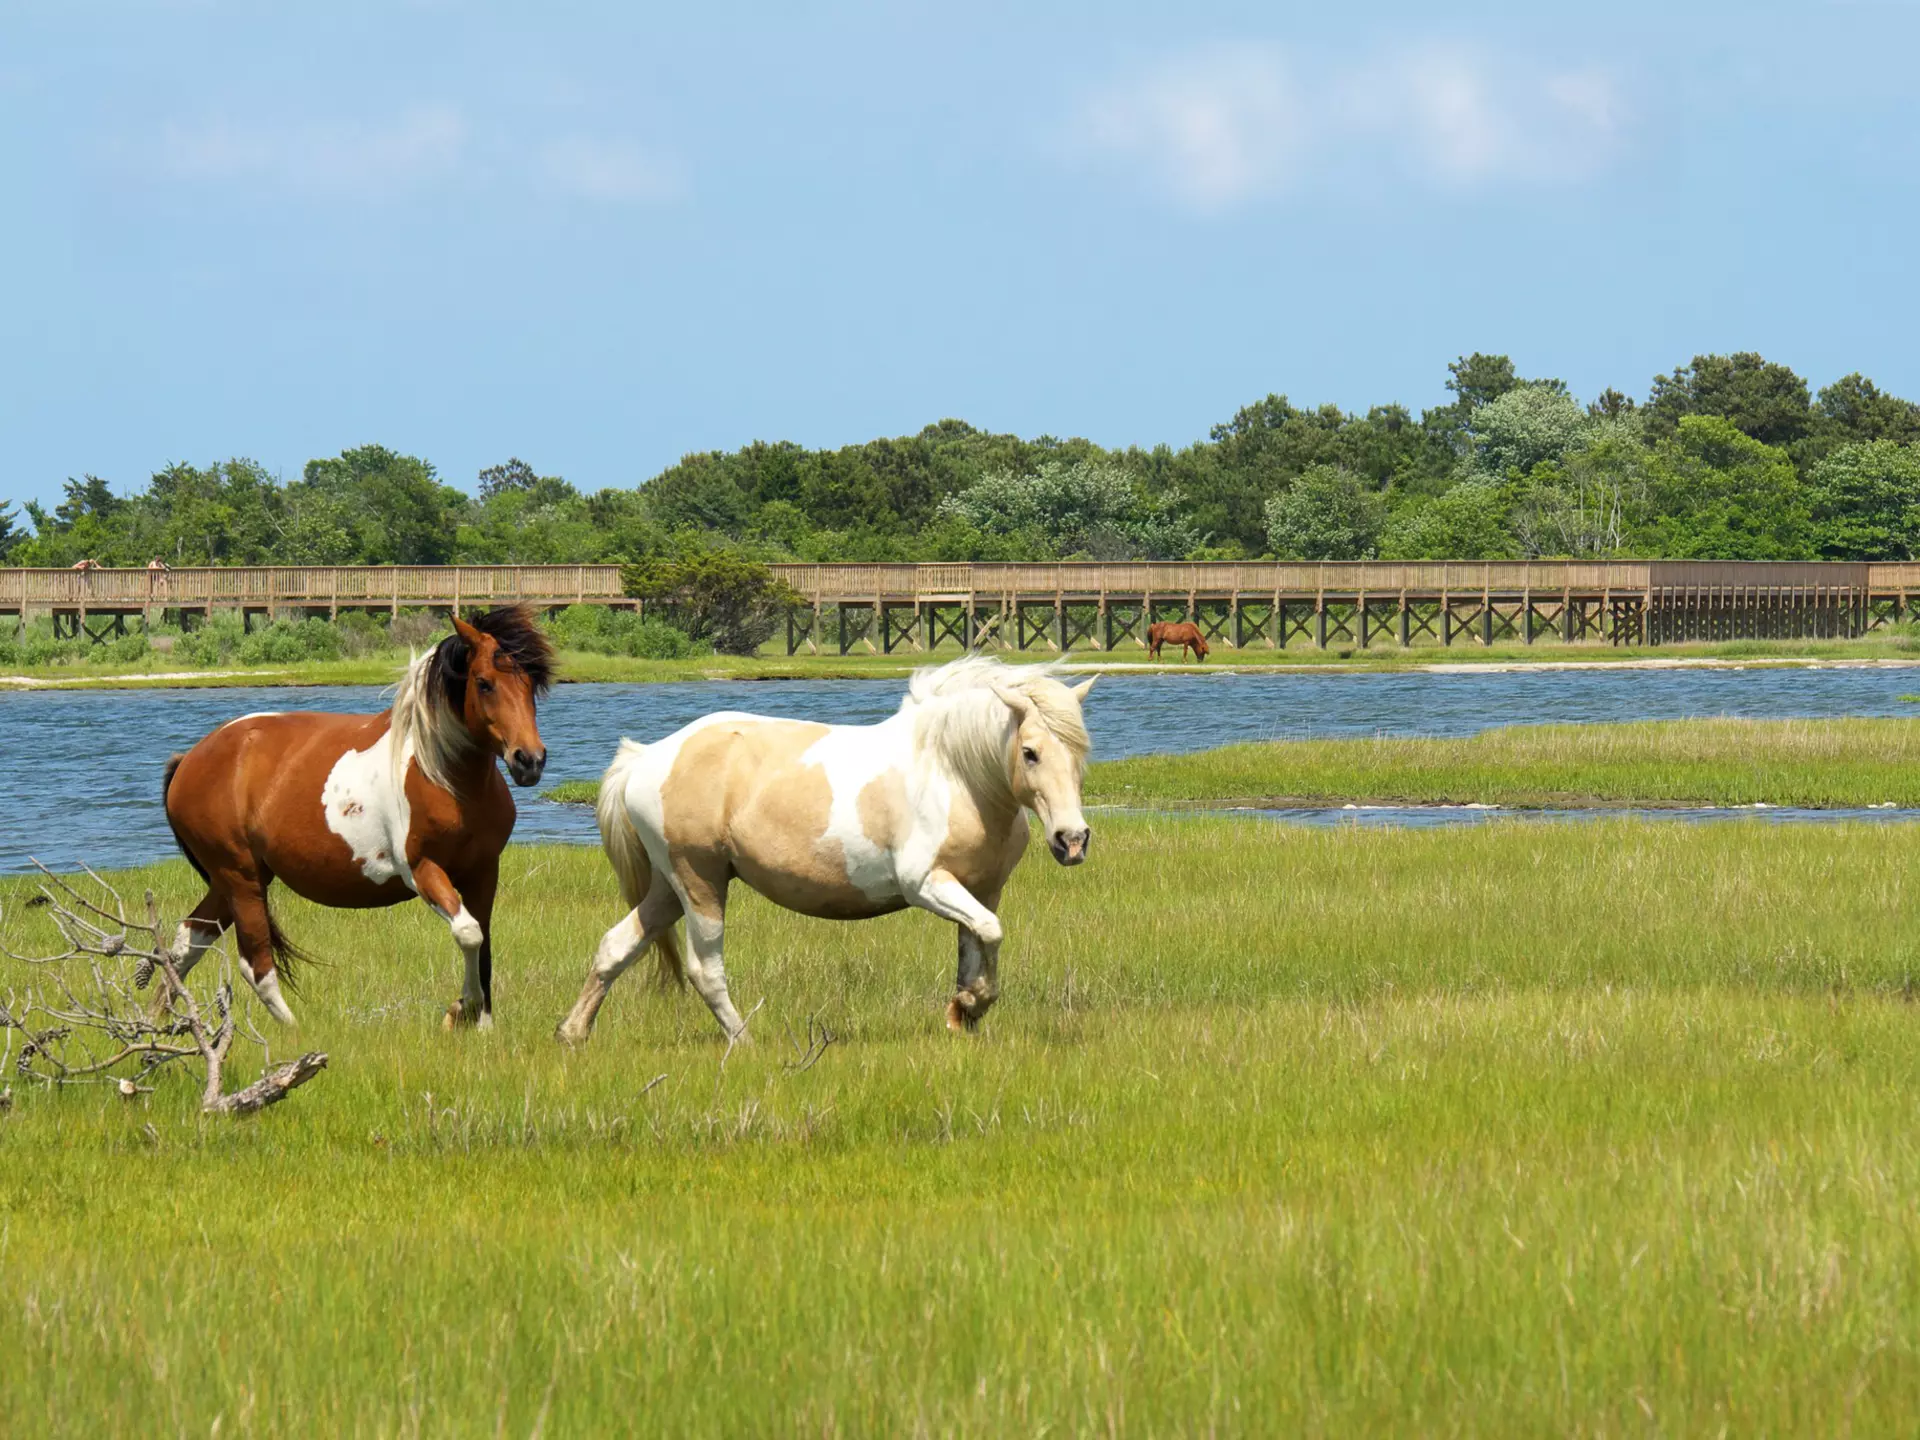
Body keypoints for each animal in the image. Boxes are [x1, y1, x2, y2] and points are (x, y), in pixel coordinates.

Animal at [160, 607, 553, 1030]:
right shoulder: (423, 870)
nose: (529, 760)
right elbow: (468, 933)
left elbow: (484, 946)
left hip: (233, 880)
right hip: (241, 879)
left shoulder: (483, 871)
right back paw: (295, 1030)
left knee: (187, 941)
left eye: (531, 682)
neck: (441, 775)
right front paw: (461, 1009)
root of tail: (190, 759)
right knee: (255, 965)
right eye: (483, 683)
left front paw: (481, 1025)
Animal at [556, 656, 1096, 1045]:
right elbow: (991, 932)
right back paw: (745, 1041)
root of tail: (647, 757)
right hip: (699, 883)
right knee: (704, 969)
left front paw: (963, 1011)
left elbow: (977, 942)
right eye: (1029, 752)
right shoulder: (926, 885)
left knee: (616, 947)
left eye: (1081, 751)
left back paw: (572, 1032)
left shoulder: (981, 889)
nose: (1071, 840)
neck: (954, 774)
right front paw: (971, 1005)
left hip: (670, 888)